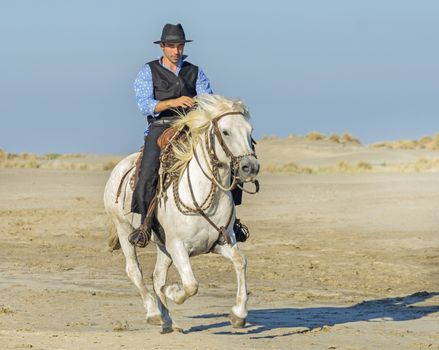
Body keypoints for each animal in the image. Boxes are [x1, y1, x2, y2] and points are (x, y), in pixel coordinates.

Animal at [104, 94, 260, 332]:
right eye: (225, 132)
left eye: (250, 131)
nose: (250, 167)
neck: (204, 194)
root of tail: (118, 168)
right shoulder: (178, 246)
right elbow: (191, 284)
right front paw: (173, 292)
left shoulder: (222, 241)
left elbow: (240, 261)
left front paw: (238, 314)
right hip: (125, 230)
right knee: (135, 271)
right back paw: (154, 313)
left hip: (163, 246)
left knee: (157, 276)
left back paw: (168, 321)